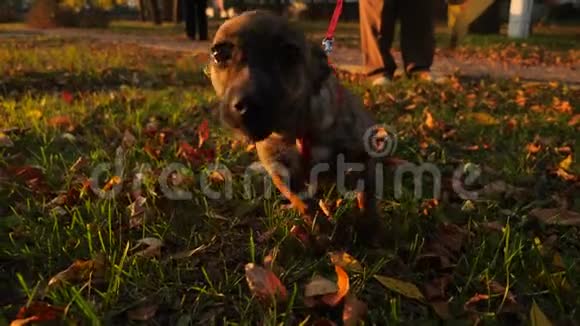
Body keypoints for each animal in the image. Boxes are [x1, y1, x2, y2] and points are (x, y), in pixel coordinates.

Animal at [206, 8, 392, 246]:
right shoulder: (282, 172)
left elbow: (366, 199)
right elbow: (305, 204)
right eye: (218, 55)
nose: (246, 105)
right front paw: (322, 231)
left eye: (290, 54)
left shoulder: (361, 157)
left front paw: (371, 232)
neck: (297, 130)